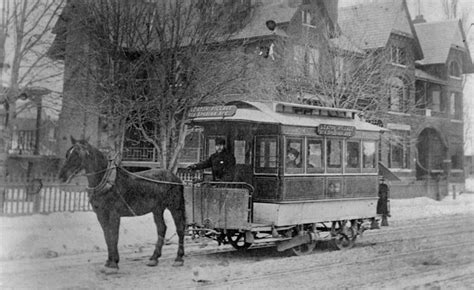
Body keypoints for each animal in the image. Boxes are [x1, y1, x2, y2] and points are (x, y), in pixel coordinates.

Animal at [58, 137, 186, 268]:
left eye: (77, 154)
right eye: (68, 153)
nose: (62, 176)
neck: (109, 182)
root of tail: (175, 177)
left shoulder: (114, 215)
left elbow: (114, 236)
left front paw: (113, 264)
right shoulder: (101, 215)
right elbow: (107, 237)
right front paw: (109, 261)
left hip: (175, 207)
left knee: (180, 228)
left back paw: (179, 258)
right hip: (157, 209)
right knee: (161, 228)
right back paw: (154, 258)